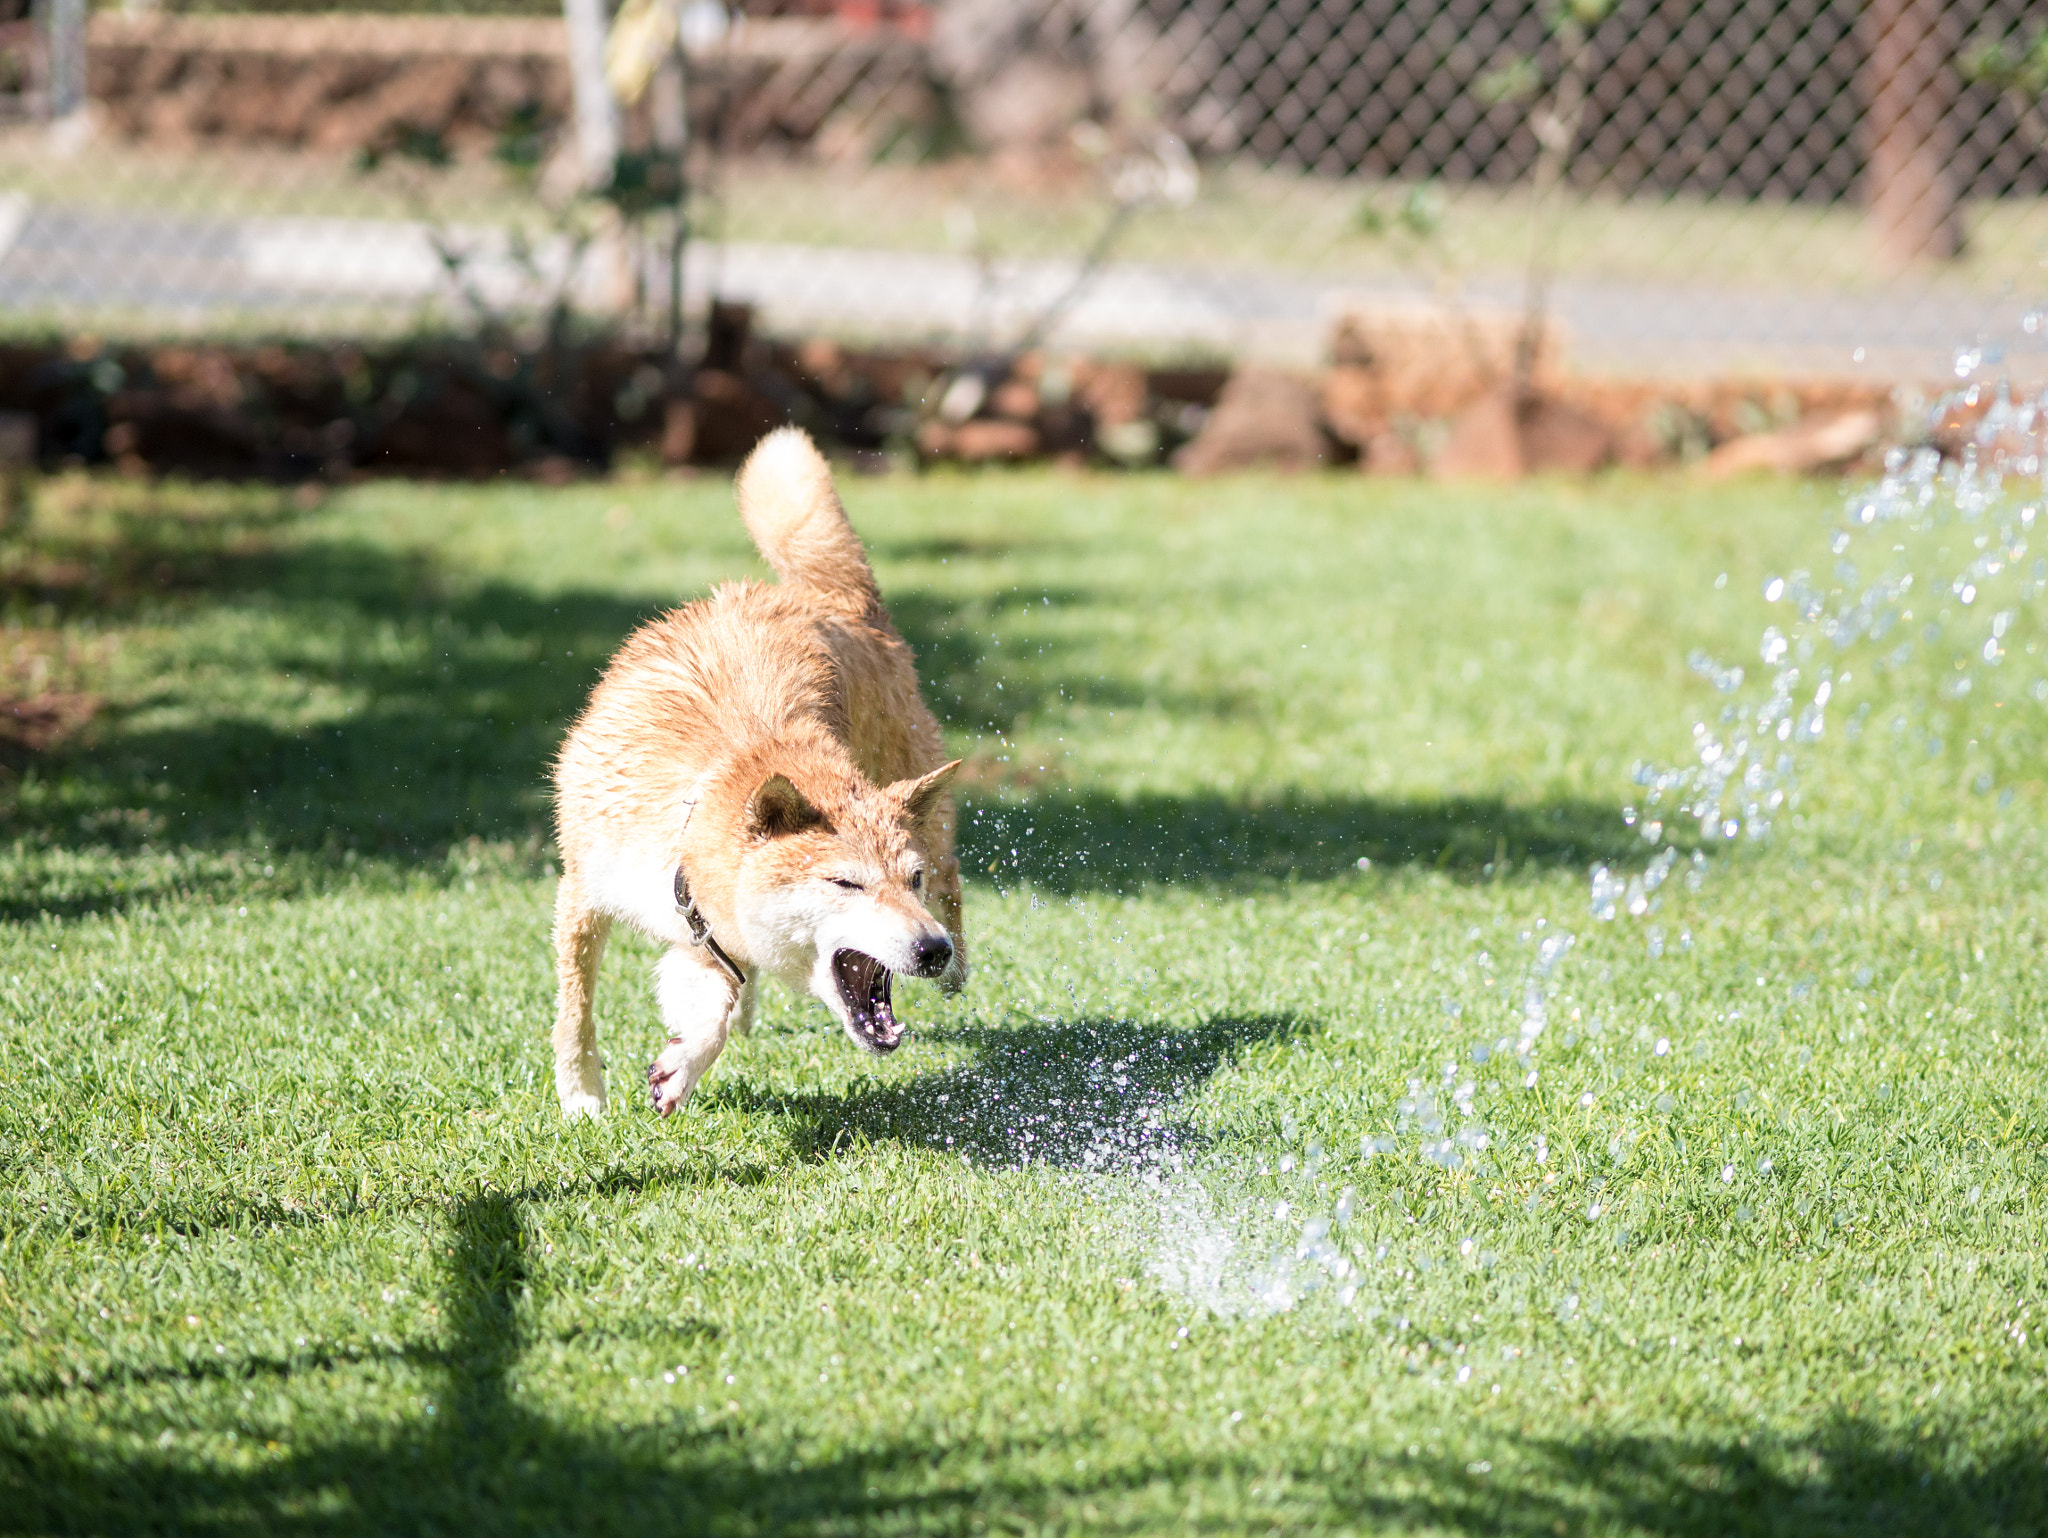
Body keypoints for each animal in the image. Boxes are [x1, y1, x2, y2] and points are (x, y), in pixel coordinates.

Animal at [544, 428, 958, 1122]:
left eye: (912, 881)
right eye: (846, 883)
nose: (933, 948)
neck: (693, 812)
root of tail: (832, 600)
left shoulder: (708, 939)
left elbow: (712, 1015)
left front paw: (677, 1072)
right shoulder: (586, 894)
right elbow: (576, 1010)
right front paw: (582, 1097)